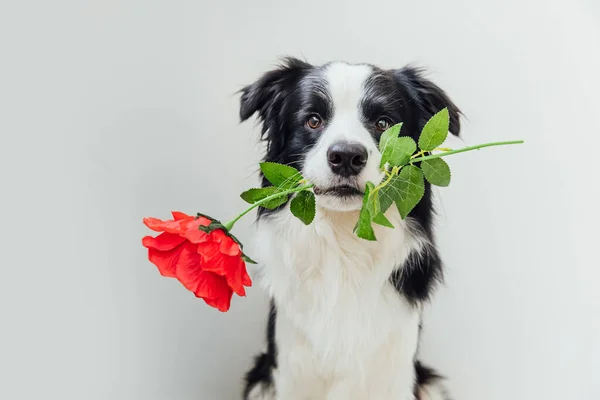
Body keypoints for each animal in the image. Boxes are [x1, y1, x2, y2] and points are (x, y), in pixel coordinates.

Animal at [238, 57, 460, 400]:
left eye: (383, 123)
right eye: (313, 120)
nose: (345, 156)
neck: (344, 245)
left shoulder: (395, 371)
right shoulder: (291, 369)